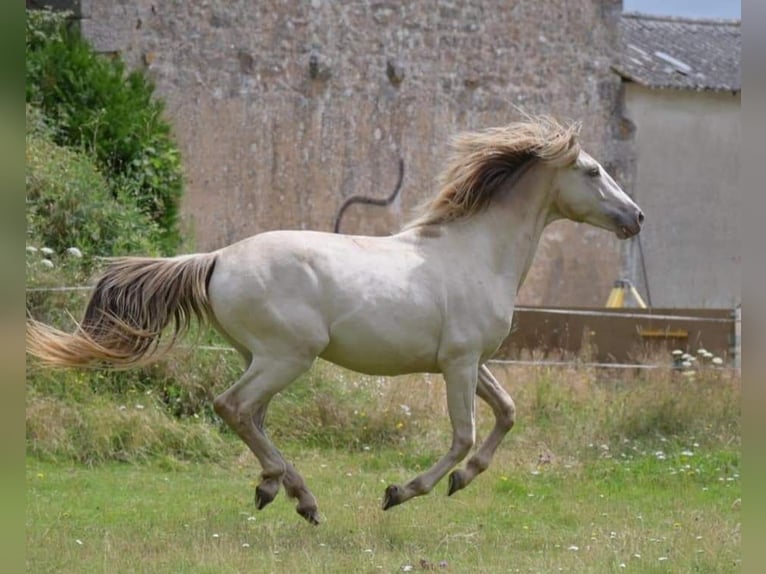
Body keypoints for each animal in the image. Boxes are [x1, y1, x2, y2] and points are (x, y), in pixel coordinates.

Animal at [27, 116, 644, 528]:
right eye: (593, 170)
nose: (636, 216)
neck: (478, 252)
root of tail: (217, 259)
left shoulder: (474, 362)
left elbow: (508, 412)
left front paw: (461, 481)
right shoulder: (460, 363)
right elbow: (464, 434)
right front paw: (403, 491)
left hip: (261, 357)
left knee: (253, 416)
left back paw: (275, 488)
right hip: (288, 355)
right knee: (233, 406)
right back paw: (303, 499)